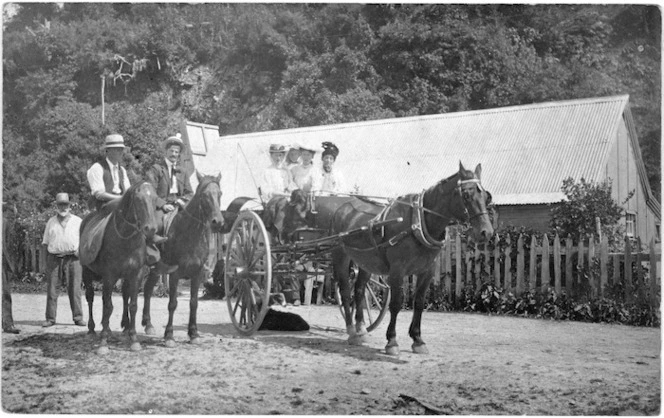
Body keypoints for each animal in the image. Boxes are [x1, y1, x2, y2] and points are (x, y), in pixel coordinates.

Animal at [80, 181, 158, 354]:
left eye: (155, 199)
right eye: (138, 199)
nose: (150, 229)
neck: (126, 239)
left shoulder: (135, 275)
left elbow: (133, 305)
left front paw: (134, 339)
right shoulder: (109, 276)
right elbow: (108, 306)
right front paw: (103, 343)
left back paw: (110, 328)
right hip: (86, 272)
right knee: (90, 297)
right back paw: (91, 329)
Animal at [141, 172, 224, 346]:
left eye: (220, 194)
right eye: (204, 195)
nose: (218, 222)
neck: (188, 233)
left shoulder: (197, 274)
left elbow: (194, 303)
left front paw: (193, 333)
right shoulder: (175, 274)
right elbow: (172, 304)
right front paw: (169, 336)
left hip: (156, 270)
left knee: (147, 289)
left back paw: (148, 324)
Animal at [328, 162, 492, 354]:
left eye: (486, 196)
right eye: (466, 194)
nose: (486, 232)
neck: (418, 223)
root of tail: (344, 206)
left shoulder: (427, 271)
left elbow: (419, 302)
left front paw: (418, 339)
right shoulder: (397, 270)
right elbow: (396, 303)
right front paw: (392, 341)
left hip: (365, 262)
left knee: (360, 290)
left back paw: (361, 329)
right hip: (340, 256)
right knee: (346, 292)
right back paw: (352, 331)